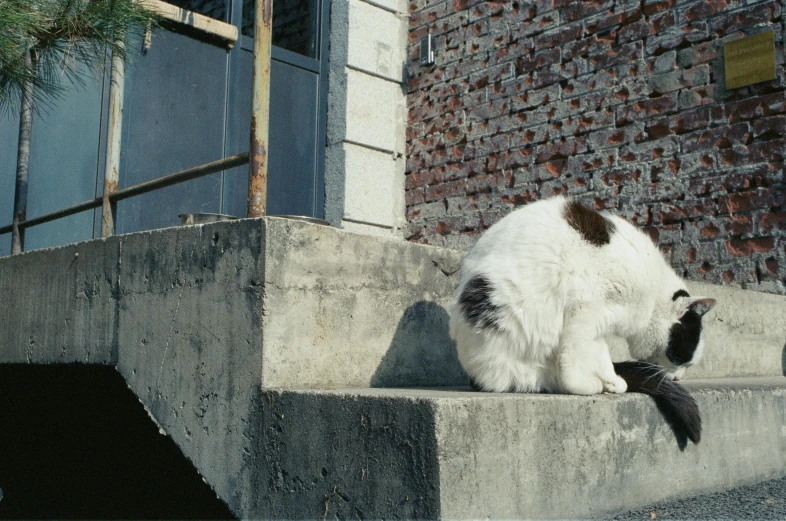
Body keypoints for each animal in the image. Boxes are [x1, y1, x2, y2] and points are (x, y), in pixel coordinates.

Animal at [448, 195, 712, 442]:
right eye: (679, 357)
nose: (679, 377)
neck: (651, 296)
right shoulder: (587, 306)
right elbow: (574, 351)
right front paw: (582, 385)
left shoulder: (600, 324)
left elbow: (600, 354)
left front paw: (612, 381)